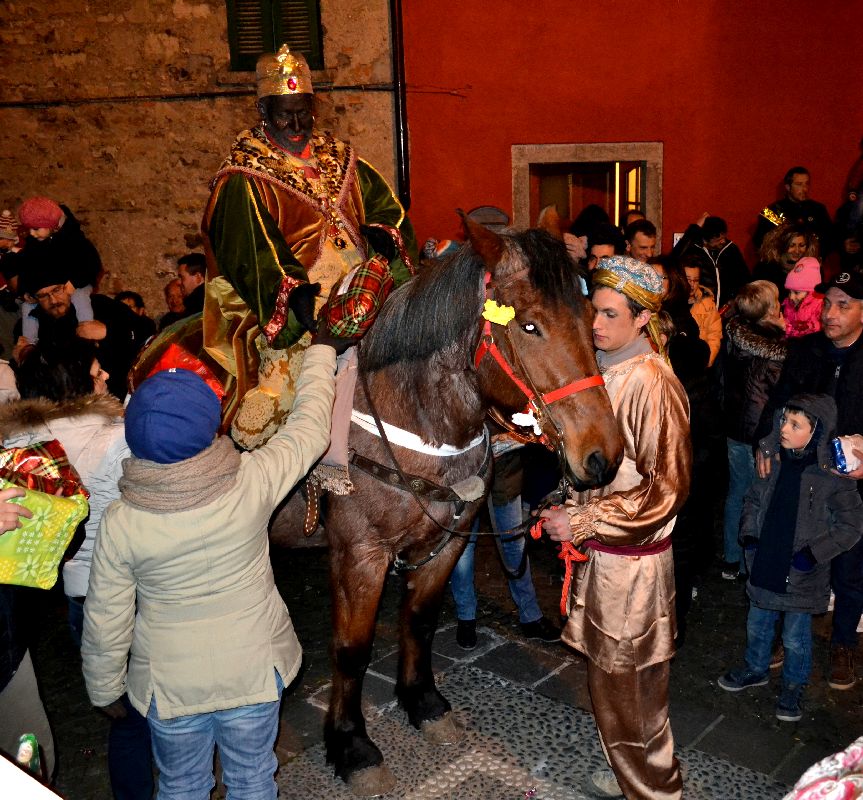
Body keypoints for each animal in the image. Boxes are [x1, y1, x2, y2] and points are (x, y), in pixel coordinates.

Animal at [310, 216, 623, 795]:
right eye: (529, 326)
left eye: (593, 318)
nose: (602, 454)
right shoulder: (358, 553)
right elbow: (350, 649)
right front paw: (351, 745)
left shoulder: (445, 542)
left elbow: (420, 620)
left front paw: (423, 702)